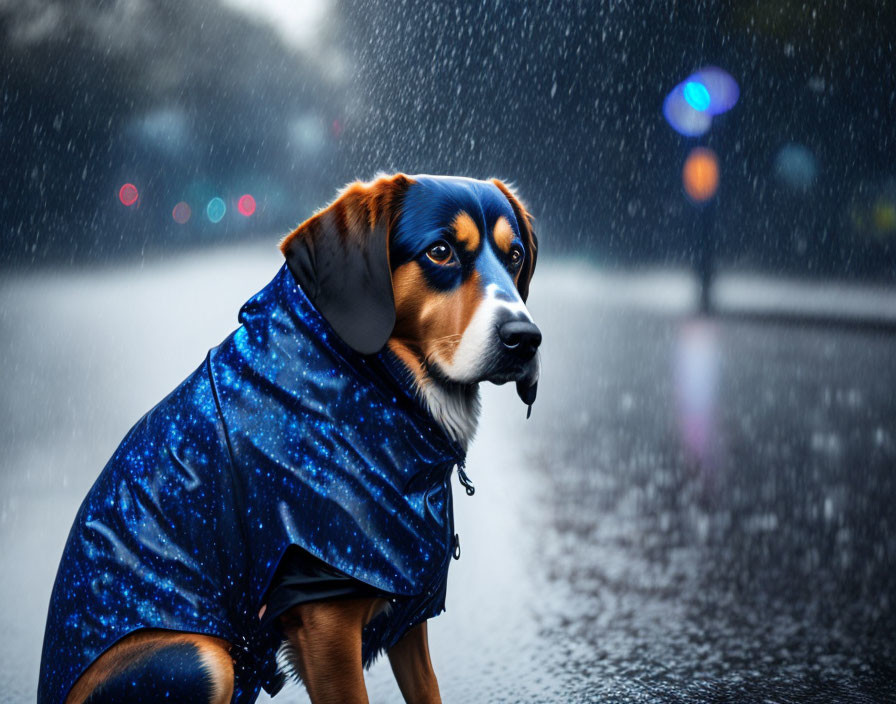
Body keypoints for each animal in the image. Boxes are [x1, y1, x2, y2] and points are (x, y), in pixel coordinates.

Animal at [40, 175, 540, 704]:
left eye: (514, 255)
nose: (526, 338)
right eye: (440, 252)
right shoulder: (327, 630)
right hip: (205, 658)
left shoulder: (408, 616)